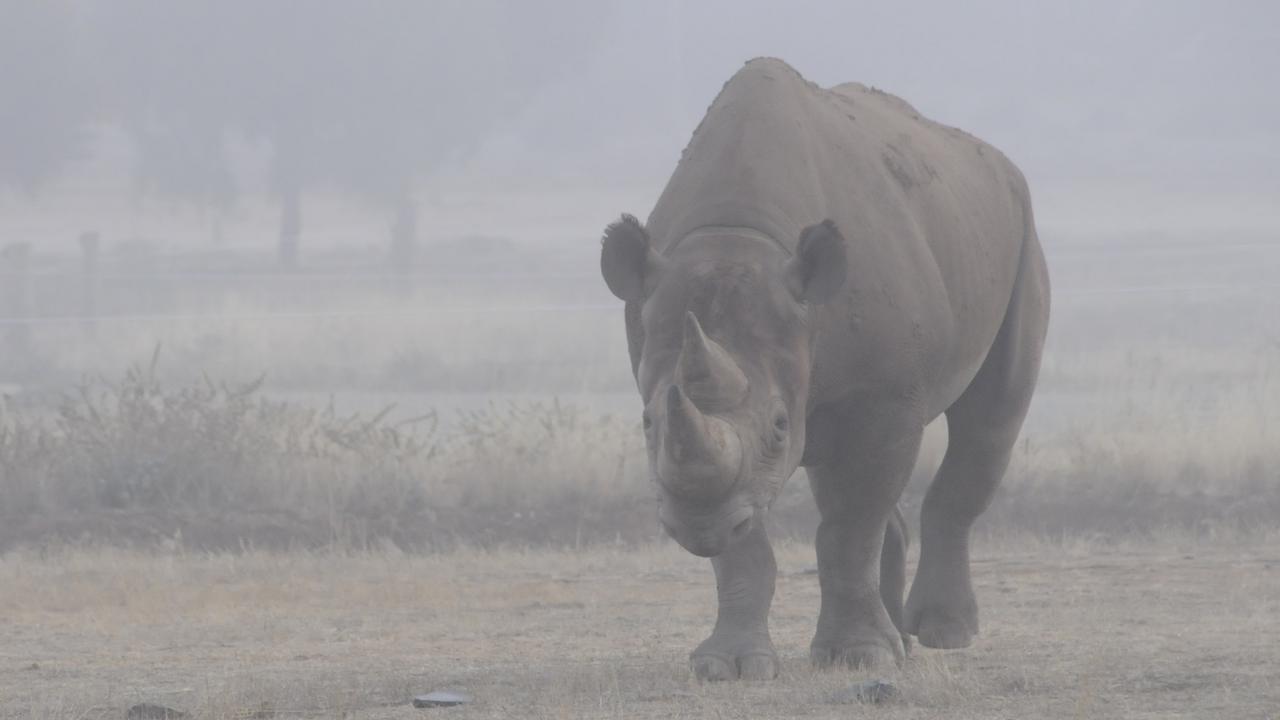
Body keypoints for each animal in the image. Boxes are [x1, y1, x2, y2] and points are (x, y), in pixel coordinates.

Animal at [599, 57, 1049, 676]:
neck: (739, 237)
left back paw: (941, 635)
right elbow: (747, 539)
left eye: (779, 426)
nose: (696, 526)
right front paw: (727, 666)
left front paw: (858, 658)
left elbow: (849, 526)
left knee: (990, 418)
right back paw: (903, 641)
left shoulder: (885, 397)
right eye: (645, 423)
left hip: (1022, 232)